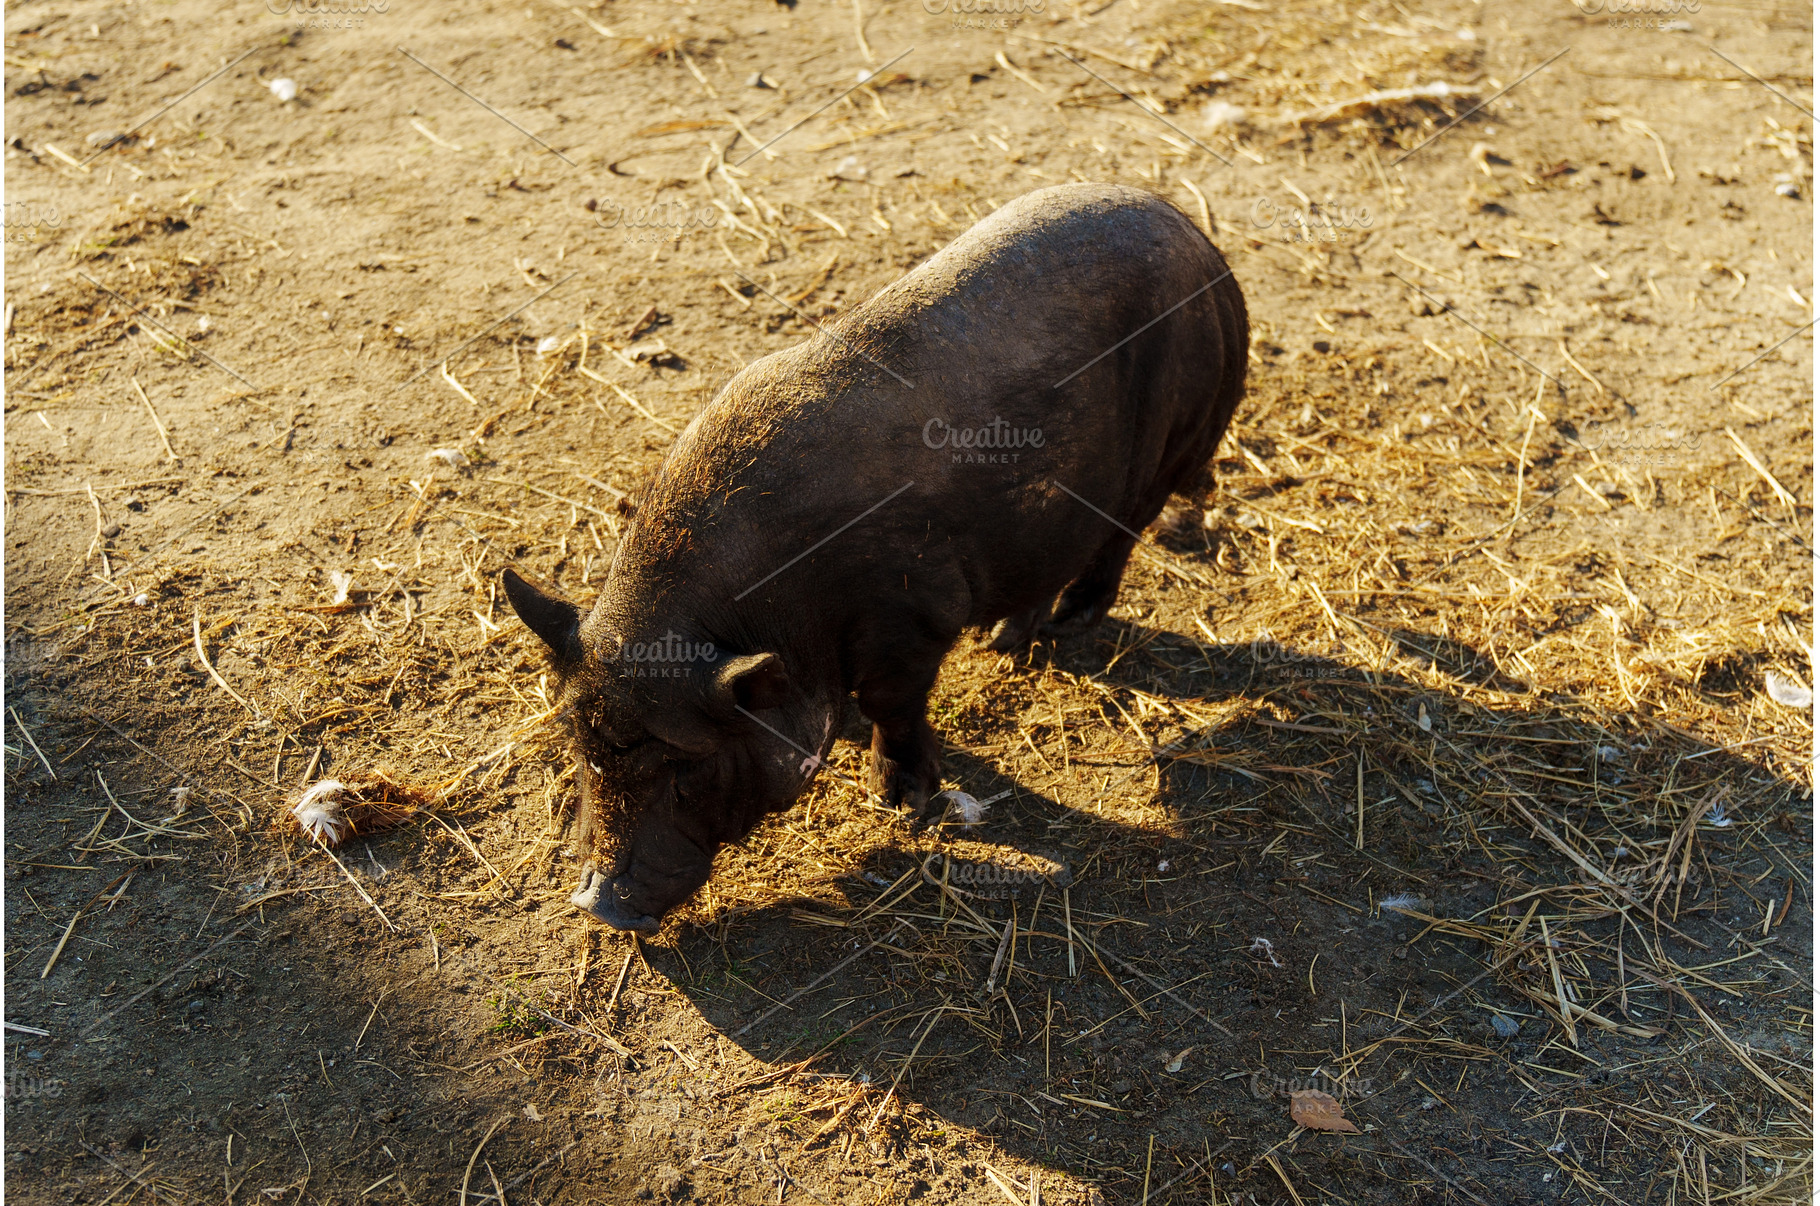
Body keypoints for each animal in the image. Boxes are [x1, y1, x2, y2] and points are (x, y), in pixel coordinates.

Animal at [502, 182, 1248, 933]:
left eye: (688, 766)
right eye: (580, 744)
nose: (599, 903)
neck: (778, 615)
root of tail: (1194, 236)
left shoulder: (915, 615)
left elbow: (893, 702)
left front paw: (902, 803)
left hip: (1177, 444)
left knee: (1120, 537)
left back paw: (1069, 626)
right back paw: (1004, 642)